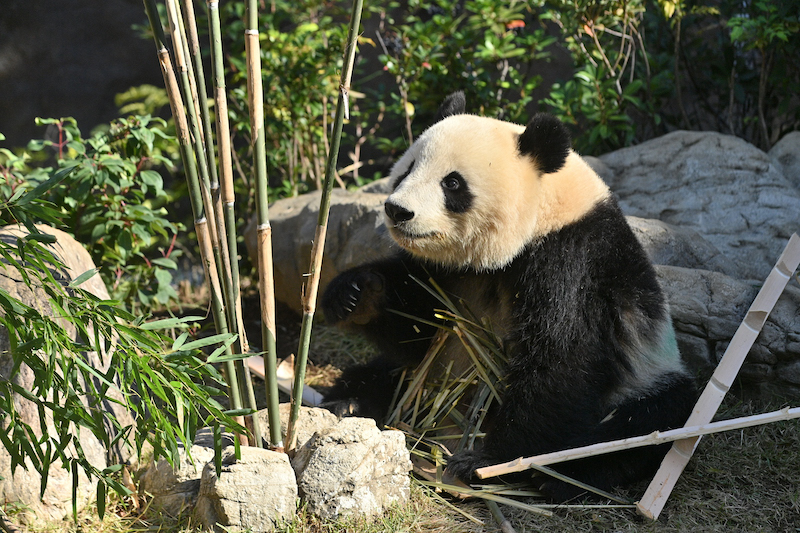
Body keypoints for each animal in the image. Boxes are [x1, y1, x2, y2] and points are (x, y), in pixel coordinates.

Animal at [322, 92, 696, 498]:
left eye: (452, 183)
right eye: (407, 169)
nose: (397, 210)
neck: (545, 212)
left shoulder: (571, 260)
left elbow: (560, 359)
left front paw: (487, 461)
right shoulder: (449, 274)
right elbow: (417, 326)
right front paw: (355, 294)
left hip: (647, 375)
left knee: (645, 422)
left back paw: (560, 472)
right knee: (386, 374)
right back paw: (348, 401)